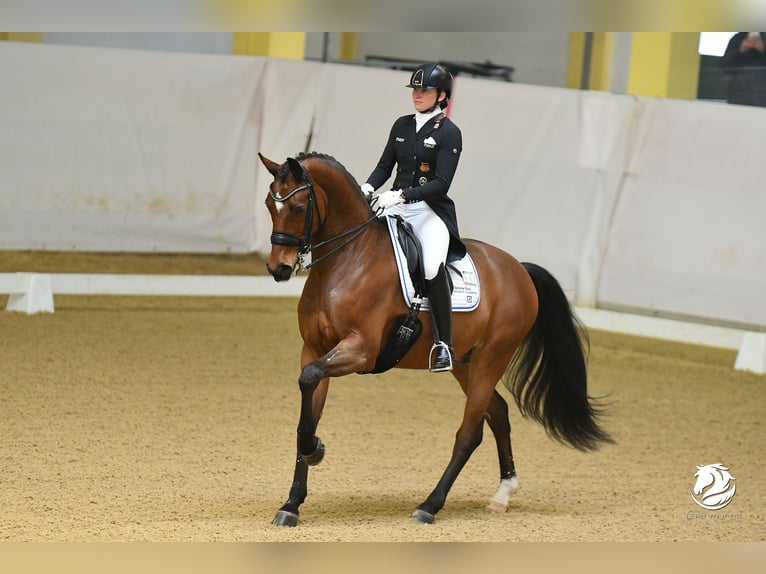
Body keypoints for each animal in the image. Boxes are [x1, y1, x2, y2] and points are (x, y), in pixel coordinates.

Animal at [260, 151, 616, 528]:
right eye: (270, 204)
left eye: (299, 206)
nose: (278, 269)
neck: (348, 260)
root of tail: (519, 269)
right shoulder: (314, 349)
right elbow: (307, 408)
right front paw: (293, 501)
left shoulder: (361, 351)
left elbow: (310, 380)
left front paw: (315, 451)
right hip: (465, 362)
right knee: (498, 413)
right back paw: (503, 494)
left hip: (493, 357)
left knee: (470, 432)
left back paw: (430, 505)